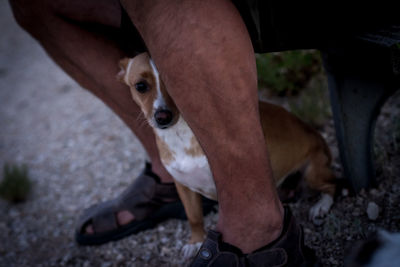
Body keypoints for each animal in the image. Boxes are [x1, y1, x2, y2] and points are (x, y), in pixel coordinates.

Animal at [116, 52, 338, 260]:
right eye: (141, 86)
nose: (163, 117)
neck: (179, 136)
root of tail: (318, 136)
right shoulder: (183, 186)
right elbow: (193, 217)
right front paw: (196, 242)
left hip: (313, 174)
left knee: (332, 186)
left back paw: (321, 206)